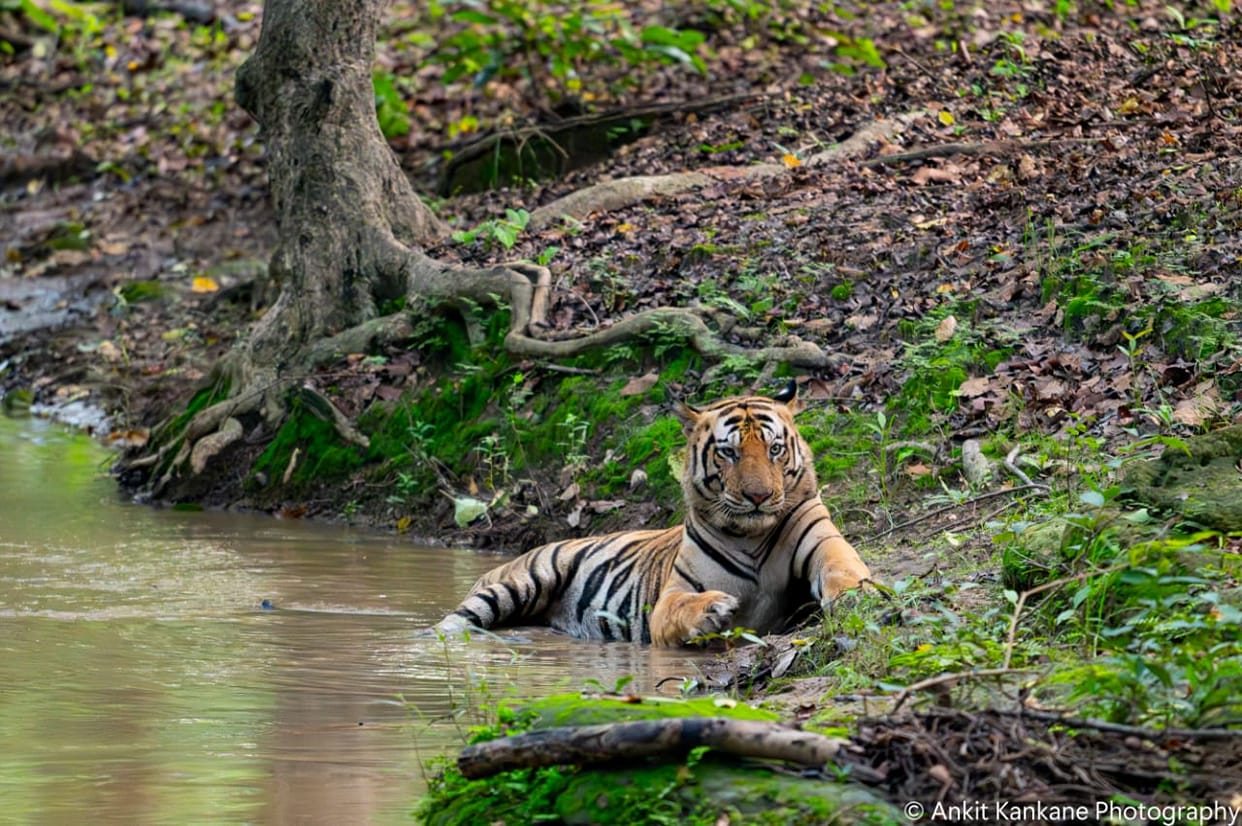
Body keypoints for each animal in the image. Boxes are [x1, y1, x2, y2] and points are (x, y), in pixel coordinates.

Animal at [435, 382, 872, 647]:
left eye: (775, 449)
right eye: (729, 452)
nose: (759, 496)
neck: (751, 534)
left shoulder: (822, 539)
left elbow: (841, 565)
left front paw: (856, 595)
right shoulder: (670, 598)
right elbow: (681, 607)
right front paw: (713, 609)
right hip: (521, 581)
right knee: (453, 622)